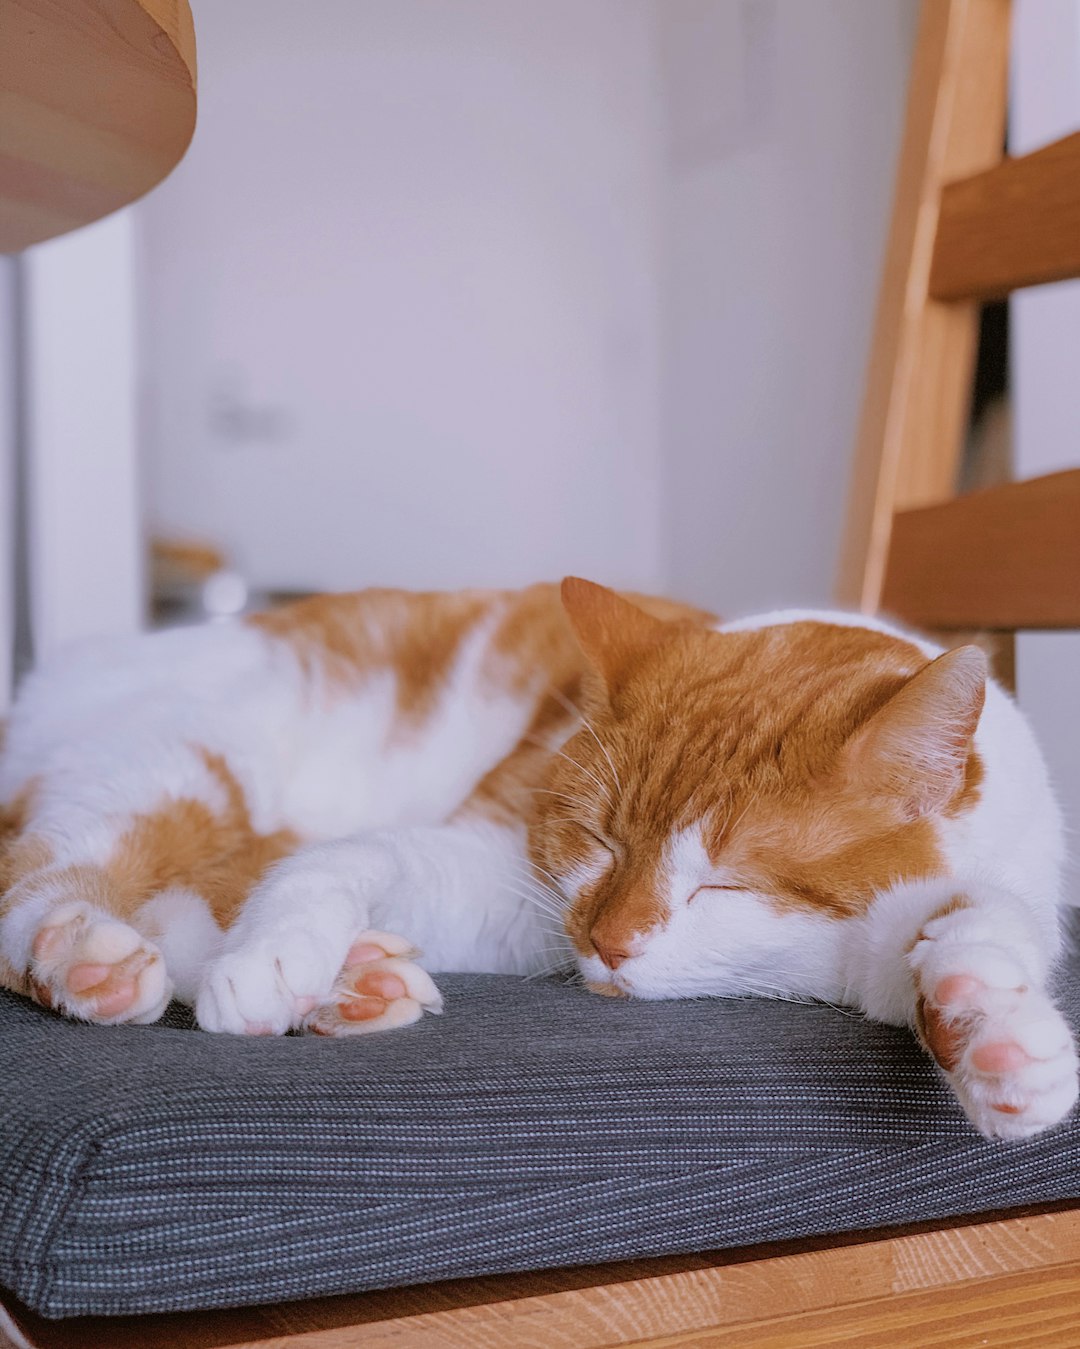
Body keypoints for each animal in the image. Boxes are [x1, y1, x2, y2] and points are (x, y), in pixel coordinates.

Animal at [0, 580, 1073, 1138]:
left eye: (724, 883)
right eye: (602, 837)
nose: (609, 941)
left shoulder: (897, 931)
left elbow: (975, 926)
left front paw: (996, 1032)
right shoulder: (500, 873)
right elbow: (329, 867)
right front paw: (274, 960)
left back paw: (356, 983)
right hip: (169, 771)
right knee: (44, 880)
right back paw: (92, 955)